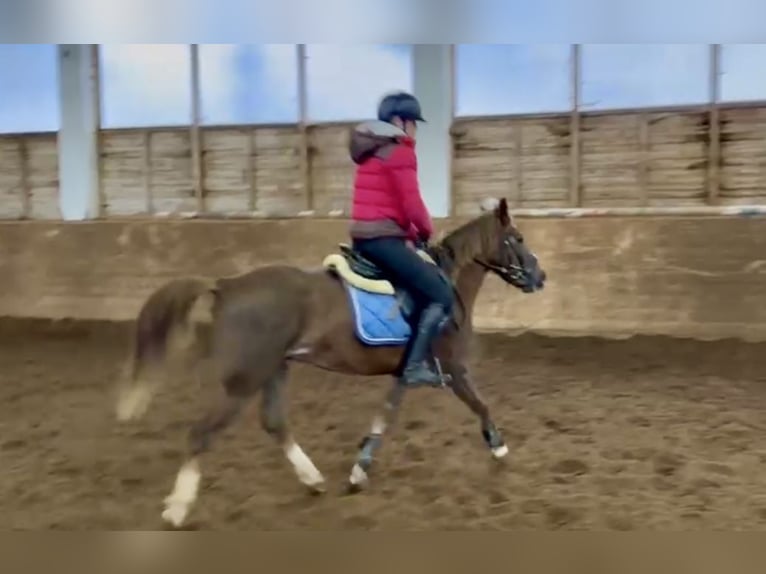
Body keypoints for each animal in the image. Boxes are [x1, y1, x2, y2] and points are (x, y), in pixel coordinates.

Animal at [114, 198, 548, 532]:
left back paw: (313, 480)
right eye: (518, 239)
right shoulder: (453, 367)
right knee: (201, 434)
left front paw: (359, 469)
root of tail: (227, 286)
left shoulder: (406, 372)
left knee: (274, 423)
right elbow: (480, 403)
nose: (540, 277)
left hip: (274, 369)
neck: (448, 283)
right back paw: (177, 508)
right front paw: (499, 448)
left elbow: (385, 416)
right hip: (244, 380)